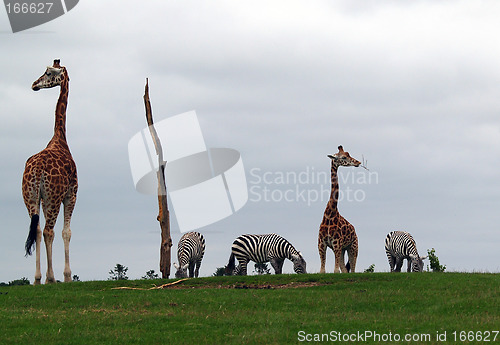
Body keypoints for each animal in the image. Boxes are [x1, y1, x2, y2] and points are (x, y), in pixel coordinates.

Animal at [320, 144, 360, 272]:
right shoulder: (322, 244)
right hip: (342, 249)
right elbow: (323, 270)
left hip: (353, 247)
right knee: (345, 269)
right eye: (343, 157)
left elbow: (335, 270)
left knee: (352, 269)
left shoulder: (336, 244)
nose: (358, 162)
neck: (330, 214)